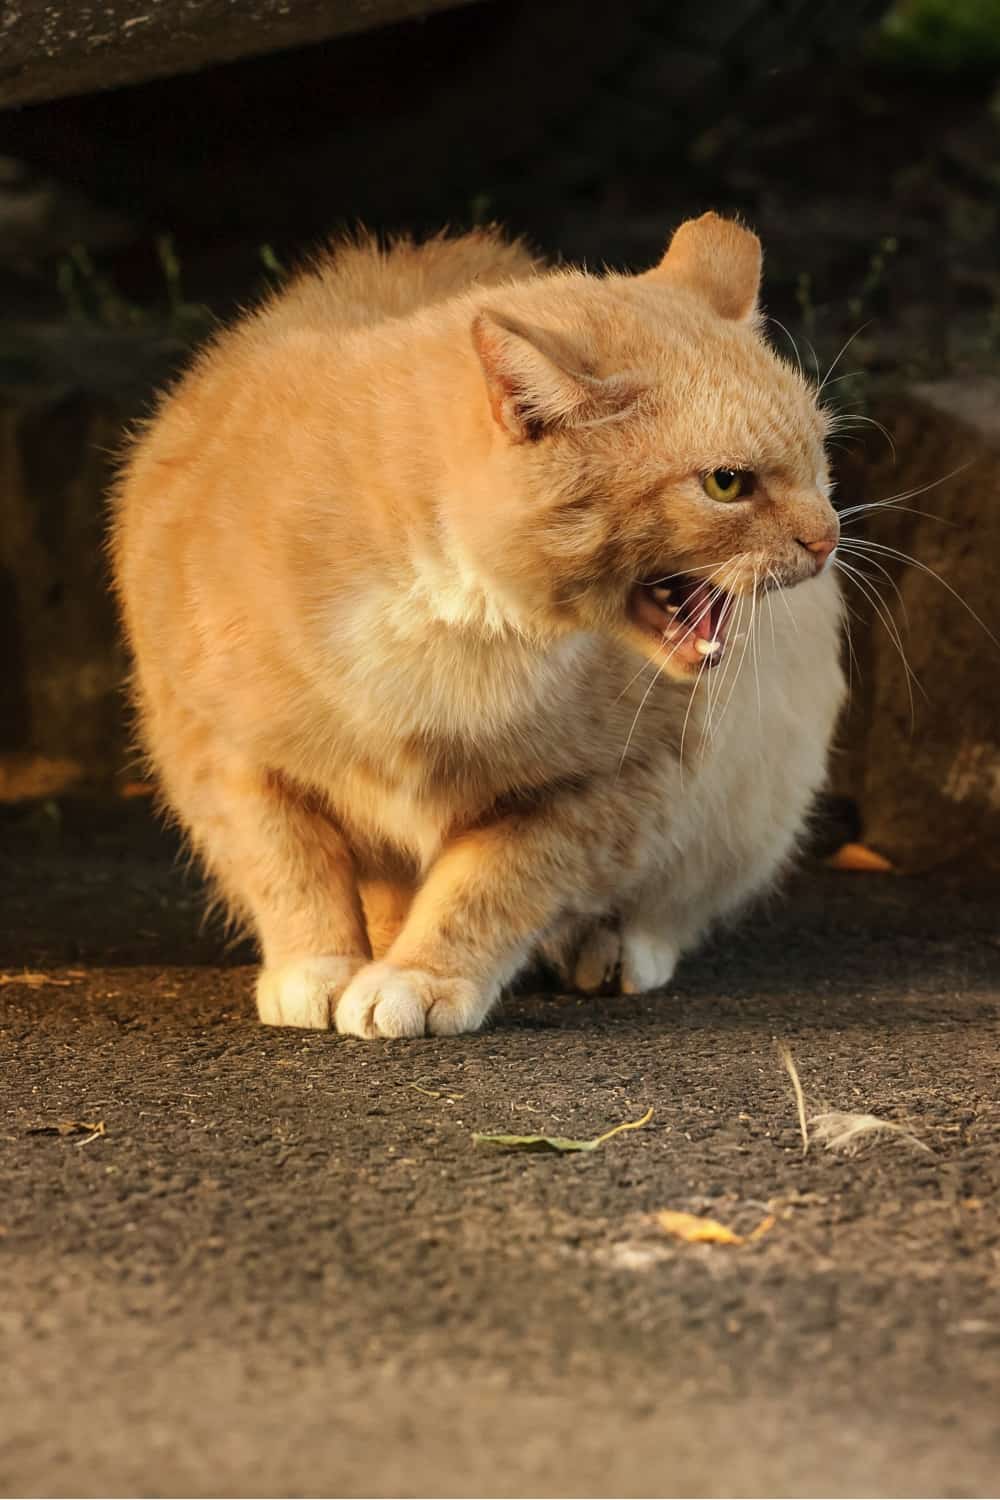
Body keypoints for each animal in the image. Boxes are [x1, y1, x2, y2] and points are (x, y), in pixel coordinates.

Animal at [109, 208, 845, 1032]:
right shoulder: (224, 752)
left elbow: (487, 891)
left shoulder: (609, 785)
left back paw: (612, 949)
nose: (829, 537)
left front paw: (420, 978)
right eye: (726, 483)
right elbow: (290, 869)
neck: (452, 632)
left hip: (753, 790)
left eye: (819, 457)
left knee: (670, 900)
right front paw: (321, 966)